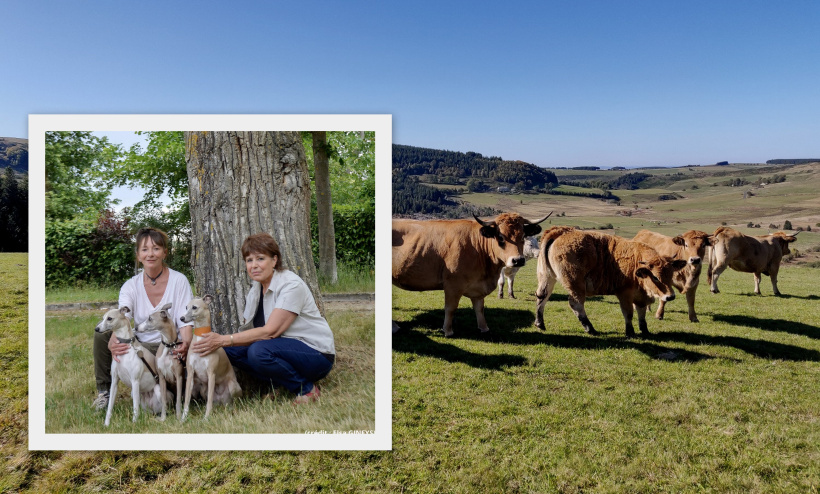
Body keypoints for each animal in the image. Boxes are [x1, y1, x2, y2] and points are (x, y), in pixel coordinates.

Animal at [390, 210, 552, 338]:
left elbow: (480, 307)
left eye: (523, 236)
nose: (518, 260)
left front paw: (484, 328)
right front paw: (448, 331)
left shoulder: (478, 286)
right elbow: (451, 308)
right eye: (500, 237)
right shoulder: (452, 285)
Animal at [536, 227, 688, 336]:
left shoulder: (640, 296)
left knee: (542, 296)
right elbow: (628, 313)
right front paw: (630, 332)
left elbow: (641, 313)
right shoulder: (624, 294)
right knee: (576, 304)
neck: (636, 261)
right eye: (655, 277)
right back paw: (590, 328)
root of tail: (561, 231)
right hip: (575, 285)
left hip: (547, 277)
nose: (670, 296)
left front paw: (645, 331)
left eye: (671, 274)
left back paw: (540, 323)